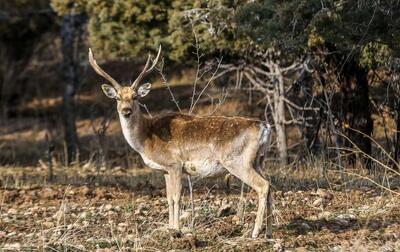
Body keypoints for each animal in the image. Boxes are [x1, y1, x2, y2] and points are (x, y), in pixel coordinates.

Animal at [88, 45, 274, 238]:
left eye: (135, 97)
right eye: (117, 97)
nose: (126, 111)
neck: (147, 138)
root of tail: (265, 127)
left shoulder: (175, 164)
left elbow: (177, 197)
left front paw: (176, 230)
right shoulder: (165, 169)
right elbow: (169, 198)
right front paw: (169, 227)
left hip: (238, 161)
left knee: (263, 186)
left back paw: (255, 232)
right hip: (259, 160)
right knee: (270, 185)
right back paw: (268, 233)